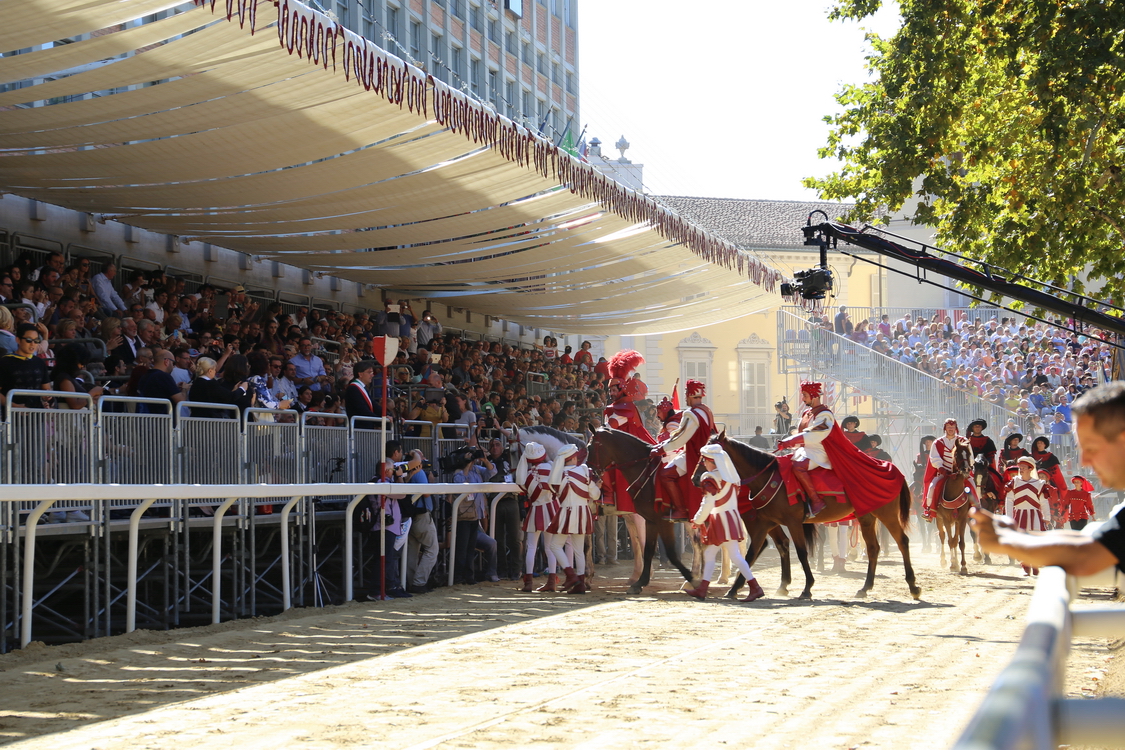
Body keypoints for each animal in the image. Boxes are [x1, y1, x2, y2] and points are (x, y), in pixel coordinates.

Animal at [697, 431, 918, 602]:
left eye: (709, 457)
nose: (696, 478)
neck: (768, 477)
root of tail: (892, 468)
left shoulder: (789, 522)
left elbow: (800, 552)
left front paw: (806, 588)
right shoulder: (767, 523)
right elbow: (759, 552)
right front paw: (740, 588)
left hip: (887, 514)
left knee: (902, 541)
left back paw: (913, 586)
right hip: (866, 517)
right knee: (873, 548)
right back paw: (865, 588)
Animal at [931, 440, 976, 575]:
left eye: (968, 454)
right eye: (956, 454)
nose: (966, 469)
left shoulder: (962, 519)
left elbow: (960, 543)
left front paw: (963, 566)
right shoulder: (946, 519)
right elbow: (949, 541)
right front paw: (952, 564)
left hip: (955, 521)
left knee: (955, 540)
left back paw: (955, 562)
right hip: (939, 520)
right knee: (942, 536)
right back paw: (944, 561)